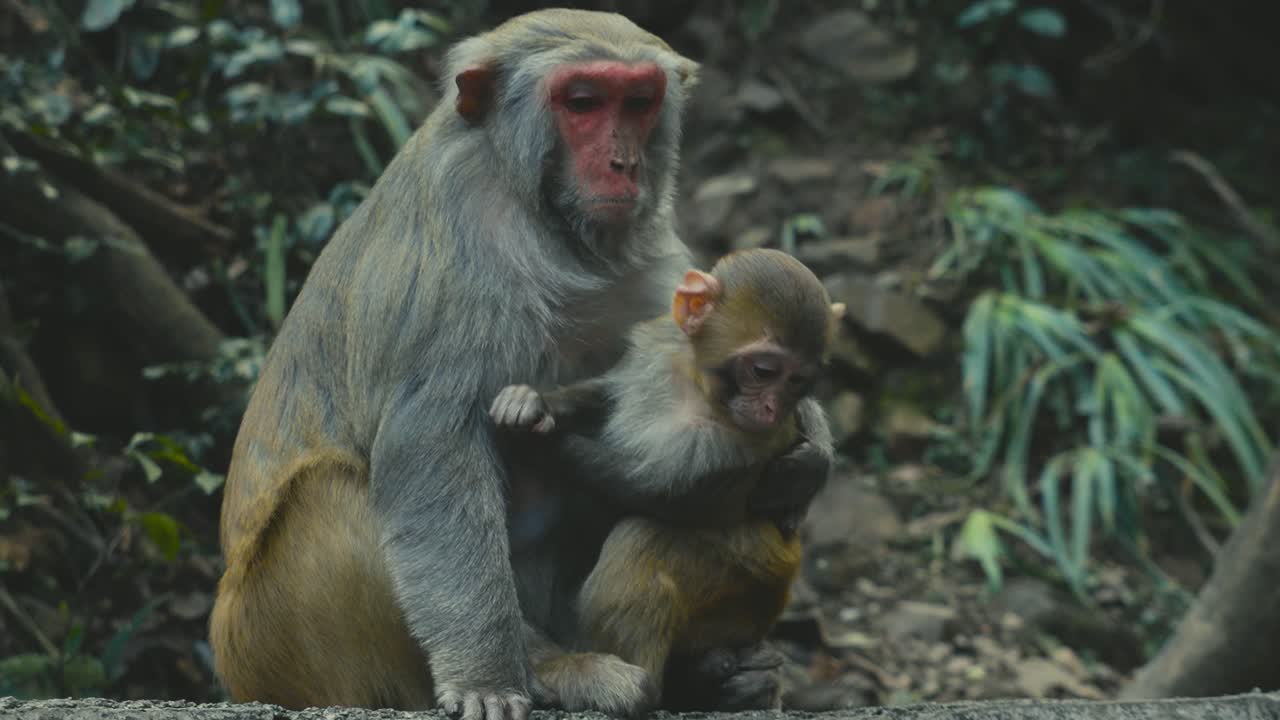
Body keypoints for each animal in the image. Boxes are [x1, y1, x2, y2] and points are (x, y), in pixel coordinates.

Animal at [490, 248, 845, 710]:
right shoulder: (657, 345)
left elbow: (648, 491)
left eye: (798, 380)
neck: (694, 383)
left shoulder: (728, 447)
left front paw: (536, 445)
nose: (770, 408)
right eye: (765, 370)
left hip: (745, 591)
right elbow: (606, 396)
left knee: (644, 540)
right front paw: (534, 402)